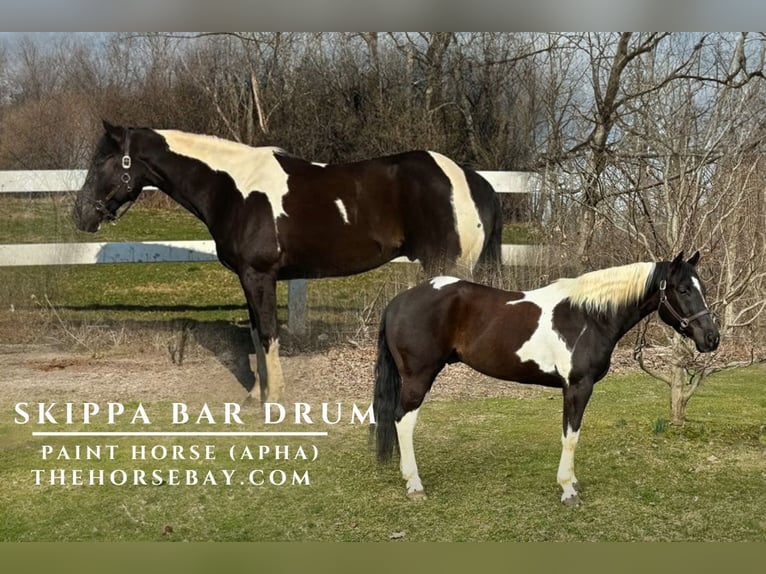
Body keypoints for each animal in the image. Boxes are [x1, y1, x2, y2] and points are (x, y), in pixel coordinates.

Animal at [72, 121, 502, 402]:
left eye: (103, 161)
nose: (80, 215)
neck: (233, 188)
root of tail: (472, 179)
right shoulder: (249, 279)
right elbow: (254, 335)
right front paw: (255, 396)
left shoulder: (259, 275)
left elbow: (267, 333)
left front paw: (273, 399)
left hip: (445, 267)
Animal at [373, 252, 720, 505]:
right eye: (684, 290)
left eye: (702, 288)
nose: (712, 338)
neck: (589, 316)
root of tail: (398, 302)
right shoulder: (577, 387)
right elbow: (571, 436)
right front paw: (568, 489)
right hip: (418, 378)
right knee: (403, 421)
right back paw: (415, 484)